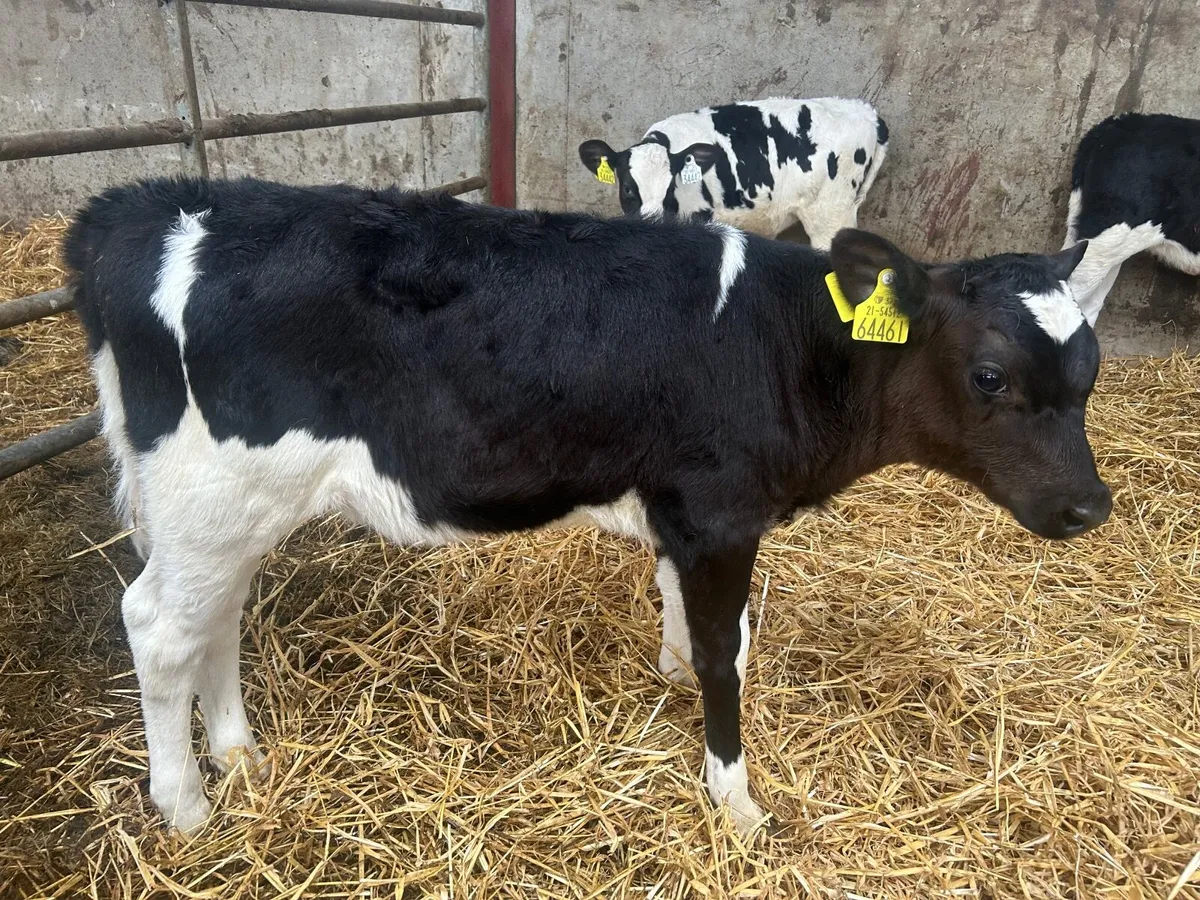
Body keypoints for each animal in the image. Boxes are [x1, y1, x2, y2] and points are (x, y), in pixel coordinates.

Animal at [64, 177, 1111, 835]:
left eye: (1092, 371)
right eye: (990, 375)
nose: (1091, 507)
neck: (785, 342)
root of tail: (139, 208)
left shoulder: (681, 515)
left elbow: (688, 623)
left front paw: (675, 684)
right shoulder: (722, 512)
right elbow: (729, 653)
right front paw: (736, 799)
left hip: (218, 514)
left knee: (218, 616)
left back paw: (239, 754)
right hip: (215, 494)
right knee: (158, 626)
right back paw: (185, 805)